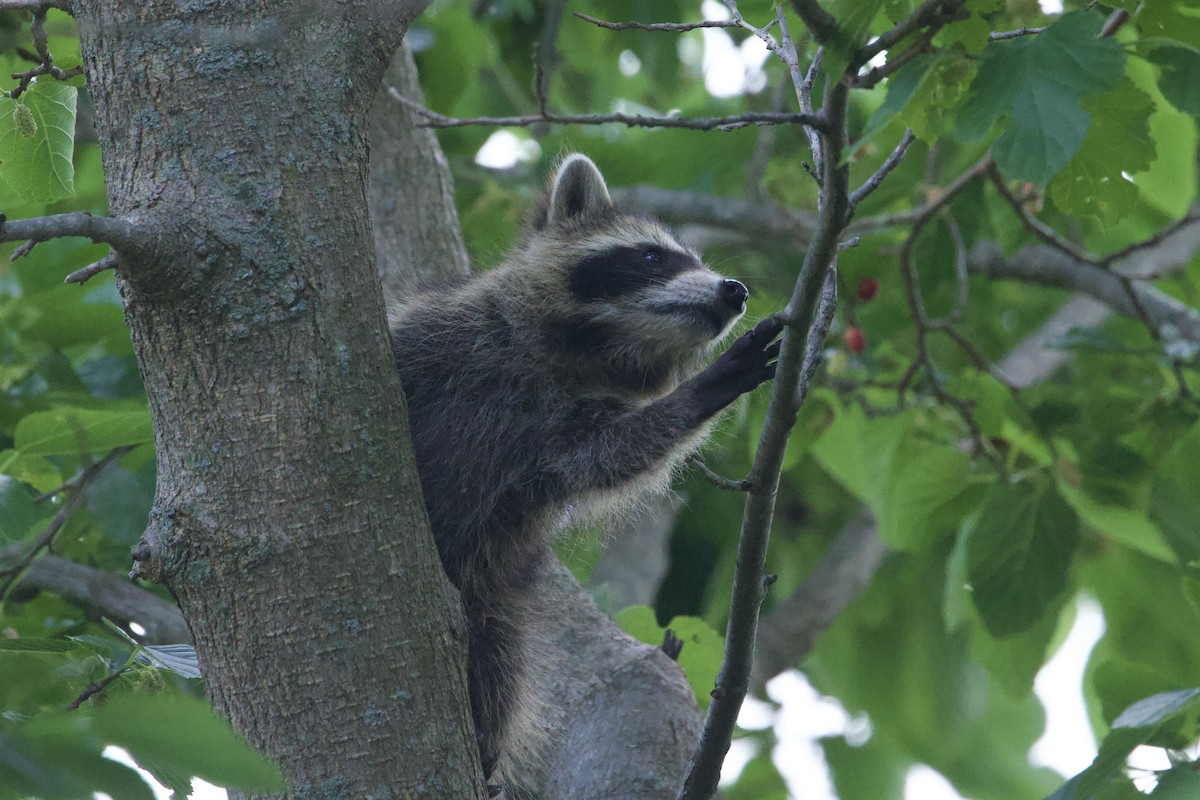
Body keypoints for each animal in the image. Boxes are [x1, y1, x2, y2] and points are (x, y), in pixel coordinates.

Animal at [389, 154, 781, 788]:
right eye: (653, 257)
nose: (735, 290)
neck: (582, 352)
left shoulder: (560, 433)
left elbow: (612, 455)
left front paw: (701, 393)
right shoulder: (436, 332)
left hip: (490, 588)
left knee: (502, 659)